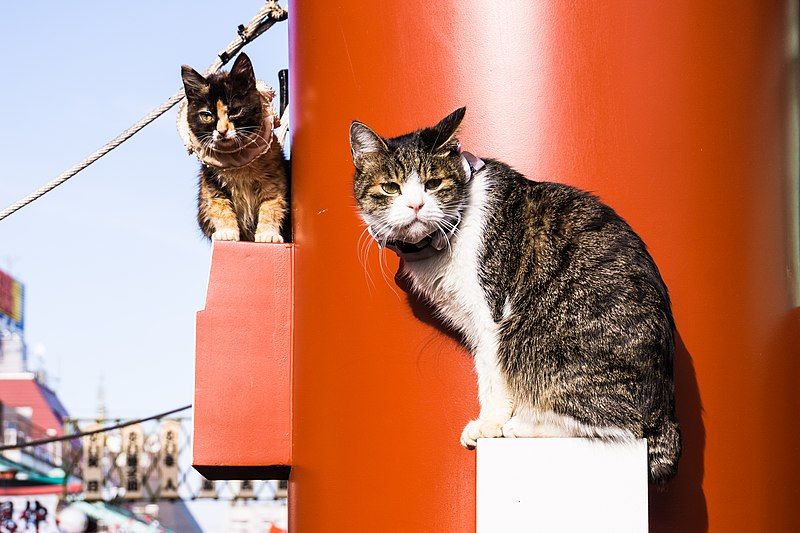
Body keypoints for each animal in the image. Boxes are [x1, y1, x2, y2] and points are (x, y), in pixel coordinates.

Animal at [180, 53, 286, 242]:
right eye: (206, 115)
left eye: (235, 111)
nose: (222, 131)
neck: (238, 166)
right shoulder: (211, 183)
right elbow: (218, 205)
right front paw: (226, 233)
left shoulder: (273, 177)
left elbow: (271, 204)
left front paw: (268, 234)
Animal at [350, 108, 680, 482]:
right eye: (391, 187)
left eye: (433, 183)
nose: (417, 205)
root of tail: (665, 416)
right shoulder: (475, 326)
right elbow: (484, 370)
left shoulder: (491, 316)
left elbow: (494, 378)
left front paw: (491, 424)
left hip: (537, 343)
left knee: (619, 425)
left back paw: (524, 424)